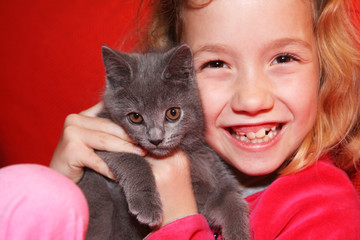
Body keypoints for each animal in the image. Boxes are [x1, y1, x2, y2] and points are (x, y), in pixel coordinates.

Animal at [77, 44, 249, 239]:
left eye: (173, 113)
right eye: (135, 117)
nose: (156, 139)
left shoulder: (212, 172)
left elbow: (232, 201)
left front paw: (239, 234)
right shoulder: (104, 137)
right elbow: (133, 160)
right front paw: (147, 206)